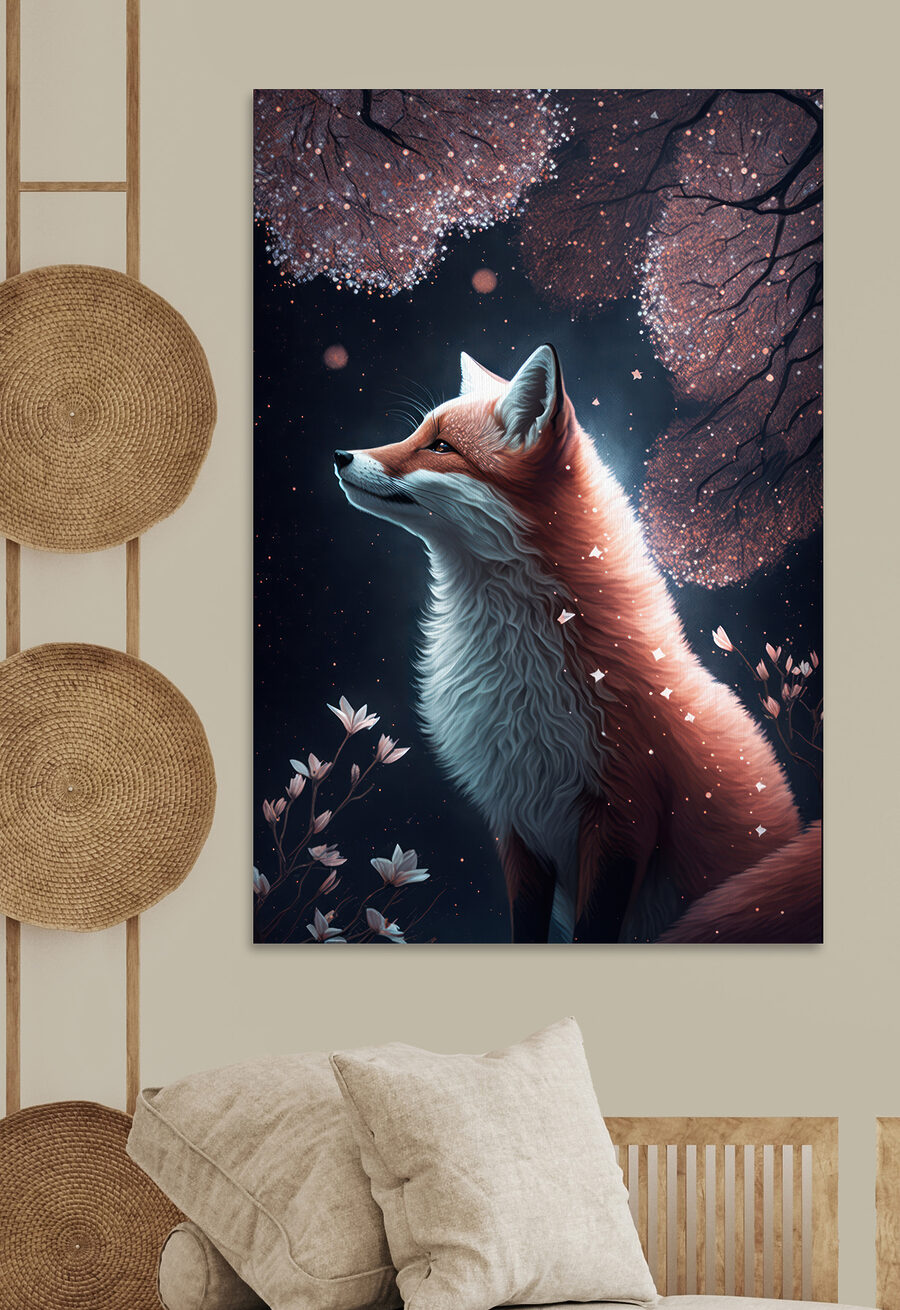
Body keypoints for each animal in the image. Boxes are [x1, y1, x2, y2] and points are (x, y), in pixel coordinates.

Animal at [334, 344, 822, 944]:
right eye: (417, 433)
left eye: (441, 447)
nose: (340, 454)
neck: (518, 672)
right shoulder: (518, 822)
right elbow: (526, 929)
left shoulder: (624, 818)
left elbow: (594, 929)